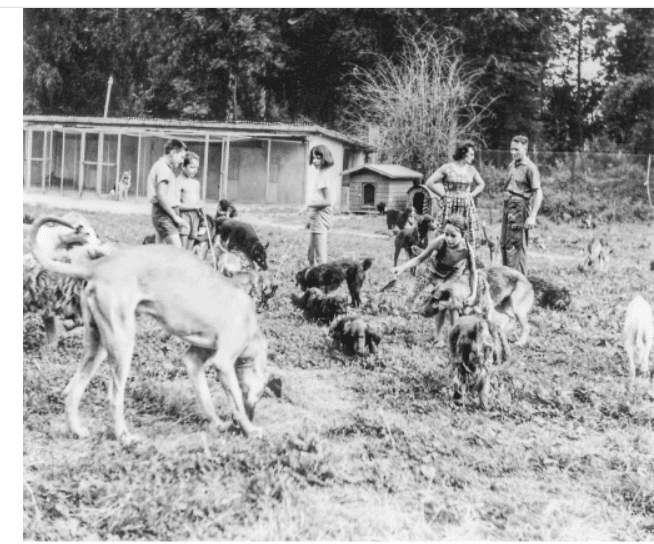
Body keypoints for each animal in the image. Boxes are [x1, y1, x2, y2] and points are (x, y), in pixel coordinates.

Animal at [27, 215, 274, 444]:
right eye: (262, 393)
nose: (242, 424)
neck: (252, 326)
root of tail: (97, 266)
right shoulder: (223, 363)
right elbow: (235, 401)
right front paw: (249, 429)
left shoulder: (194, 360)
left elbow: (205, 398)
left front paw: (219, 423)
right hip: (122, 345)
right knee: (114, 397)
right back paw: (124, 437)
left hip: (97, 345)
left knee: (71, 391)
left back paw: (77, 430)